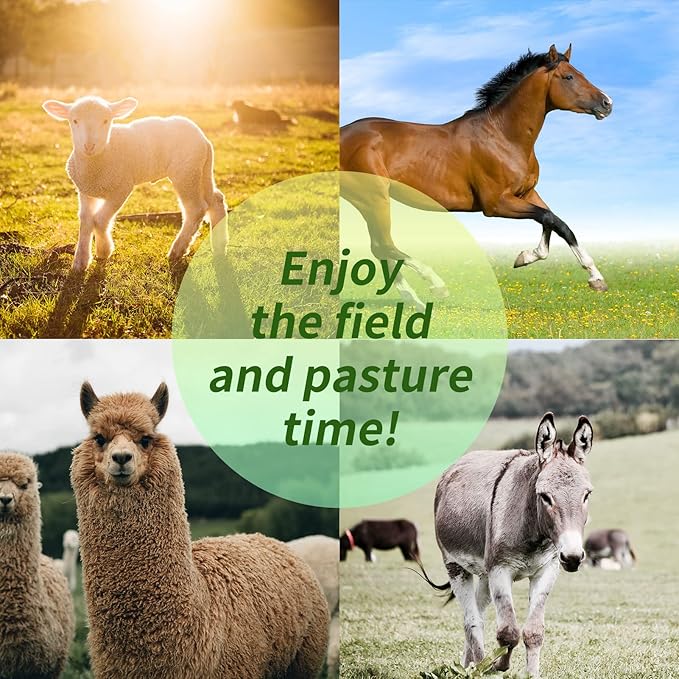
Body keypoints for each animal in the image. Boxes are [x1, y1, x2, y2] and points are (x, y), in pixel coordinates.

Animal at [340, 44, 613, 309]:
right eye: (568, 77)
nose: (607, 103)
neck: (503, 136)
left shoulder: (527, 193)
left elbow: (557, 223)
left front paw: (589, 276)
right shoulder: (496, 204)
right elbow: (551, 219)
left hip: (368, 202)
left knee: (380, 248)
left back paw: (413, 299)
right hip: (374, 199)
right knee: (383, 245)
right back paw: (435, 286)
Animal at [417, 413, 594, 677]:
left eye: (586, 495)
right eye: (545, 497)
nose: (572, 557)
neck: (533, 532)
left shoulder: (546, 570)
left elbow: (533, 632)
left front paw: (530, 673)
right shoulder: (500, 571)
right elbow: (508, 632)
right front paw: (498, 664)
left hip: (484, 574)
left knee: (478, 613)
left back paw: (468, 665)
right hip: (455, 566)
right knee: (472, 621)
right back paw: (480, 665)